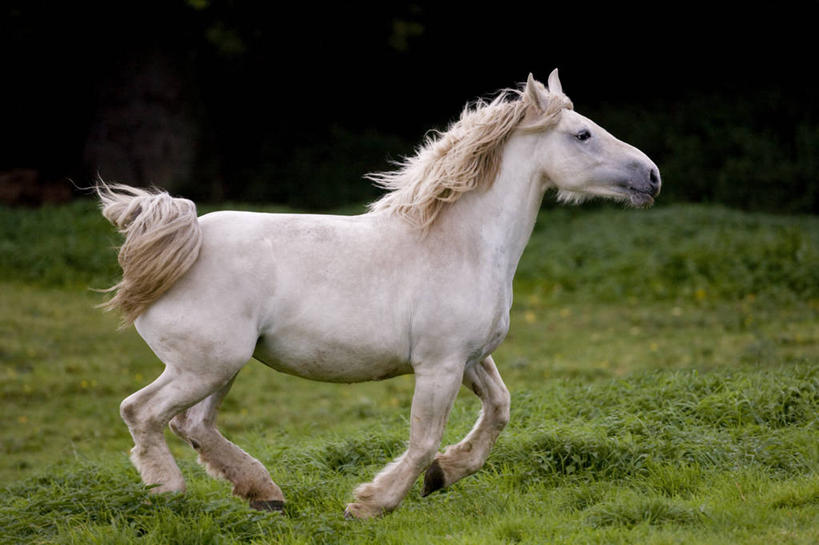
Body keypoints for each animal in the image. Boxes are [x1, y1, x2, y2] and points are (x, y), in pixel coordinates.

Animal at [97, 70, 660, 516]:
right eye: (582, 134)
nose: (652, 177)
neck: (462, 244)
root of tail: (183, 241)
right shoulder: (439, 365)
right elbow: (424, 439)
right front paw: (371, 503)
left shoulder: (470, 358)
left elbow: (499, 409)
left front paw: (445, 474)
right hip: (205, 365)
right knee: (142, 412)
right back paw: (168, 490)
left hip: (223, 366)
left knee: (192, 424)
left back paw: (265, 494)